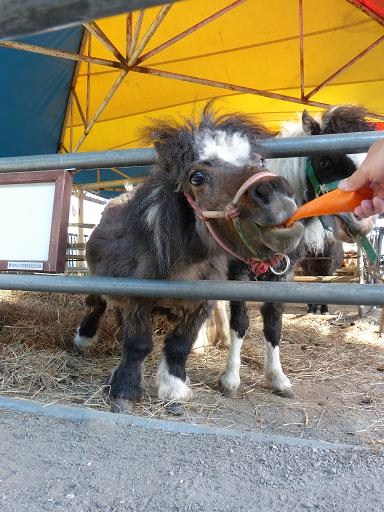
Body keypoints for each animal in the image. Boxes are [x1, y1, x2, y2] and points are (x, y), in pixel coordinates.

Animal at [75, 108, 304, 412]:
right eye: (197, 177)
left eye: (260, 160)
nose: (277, 197)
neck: (181, 267)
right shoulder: (137, 300)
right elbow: (138, 345)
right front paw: (124, 390)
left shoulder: (199, 306)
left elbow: (178, 345)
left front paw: (173, 387)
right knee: (96, 304)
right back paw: (84, 339)